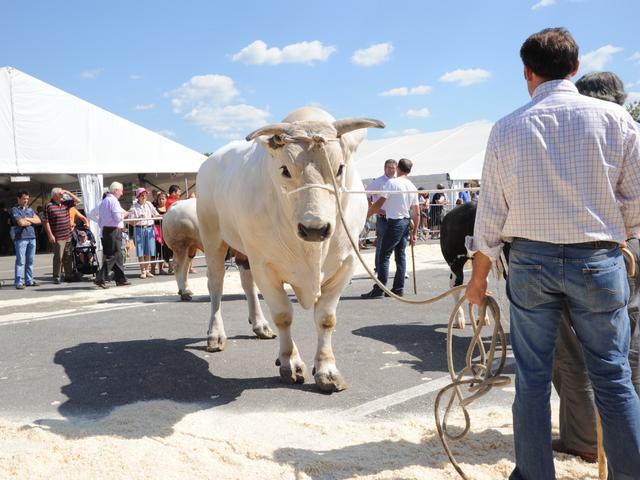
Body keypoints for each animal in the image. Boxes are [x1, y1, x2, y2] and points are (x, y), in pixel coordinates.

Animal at [198, 107, 382, 392]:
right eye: (284, 169)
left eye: (340, 168)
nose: (314, 228)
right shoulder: (265, 265)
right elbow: (284, 315)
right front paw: (290, 363)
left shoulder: (347, 263)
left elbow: (326, 318)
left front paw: (327, 369)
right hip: (213, 238)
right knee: (215, 286)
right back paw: (216, 335)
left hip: (245, 251)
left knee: (247, 282)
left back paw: (260, 325)